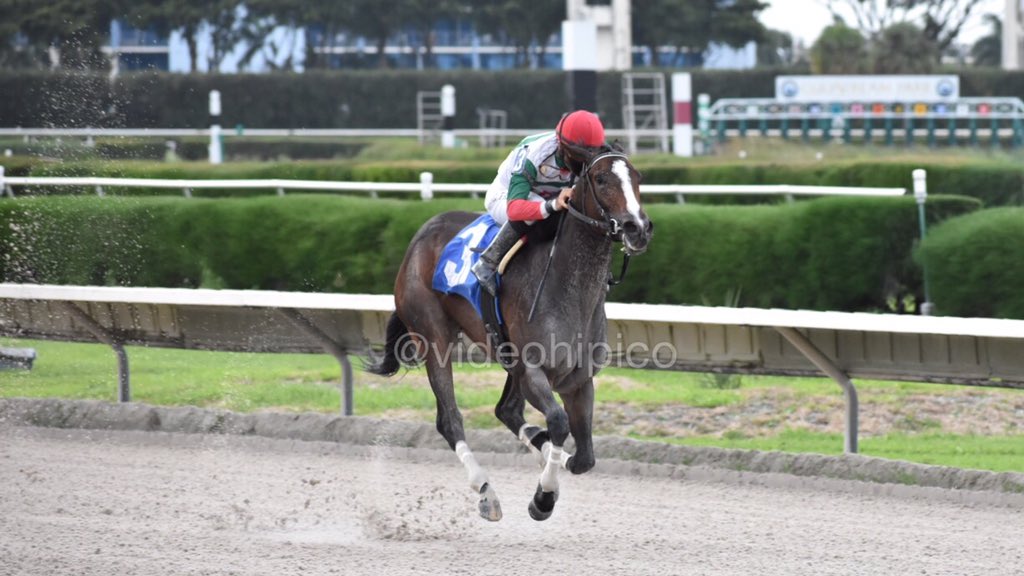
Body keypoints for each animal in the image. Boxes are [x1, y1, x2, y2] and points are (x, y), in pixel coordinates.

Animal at [368, 146, 651, 520]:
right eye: (602, 179)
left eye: (637, 177)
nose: (638, 228)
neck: (569, 287)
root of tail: (420, 237)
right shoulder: (533, 370)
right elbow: (558, 423)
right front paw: (544, 497)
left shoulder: (577, 380)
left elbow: (583, 458)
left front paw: (551, 468)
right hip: (433, 337)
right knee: (450, 420)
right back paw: (486, 492)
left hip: (506, 356)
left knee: (507, 411)